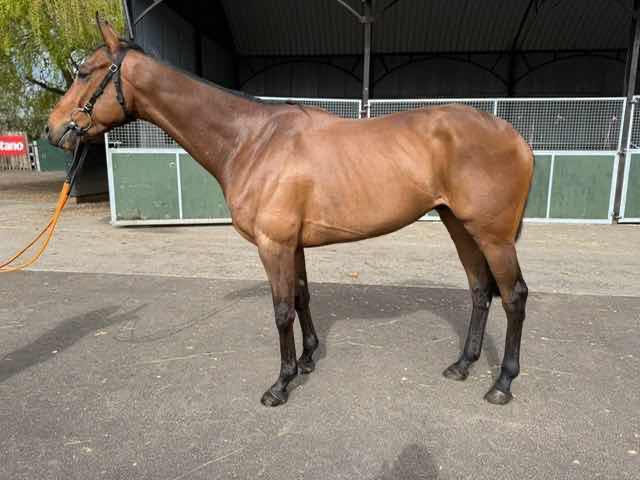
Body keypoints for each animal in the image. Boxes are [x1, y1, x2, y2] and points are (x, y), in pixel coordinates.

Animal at [47, 16, 533, 407]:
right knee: (479, 291)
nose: (53, 130)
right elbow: (301, 297)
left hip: (492, 235)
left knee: (513, 296)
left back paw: (502, 384)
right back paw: (463, 365)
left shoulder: (273, 244)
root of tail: (515, 137)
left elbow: (281, 310)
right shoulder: (292, 244)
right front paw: (307, 359)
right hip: (460, 226)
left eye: (84, 72)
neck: (252, 139)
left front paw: (280, 384)